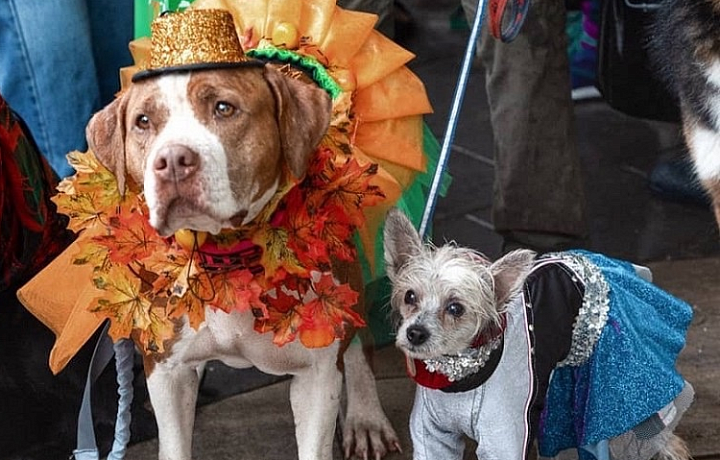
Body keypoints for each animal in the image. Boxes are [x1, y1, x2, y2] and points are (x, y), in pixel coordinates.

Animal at [83, 12, 400, 460]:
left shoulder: (317, 375)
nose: (172, 160)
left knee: (359, 341)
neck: (231, 256)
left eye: (223, 108)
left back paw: (366, 418)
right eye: (143, 121)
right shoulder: (166, 370)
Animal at [382, 209, 692, 460]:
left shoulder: (504, 439)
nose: (415, 333)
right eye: (410, 296)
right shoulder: (432, 435)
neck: (460, 375)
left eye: (455, 308)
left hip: (625, 379)